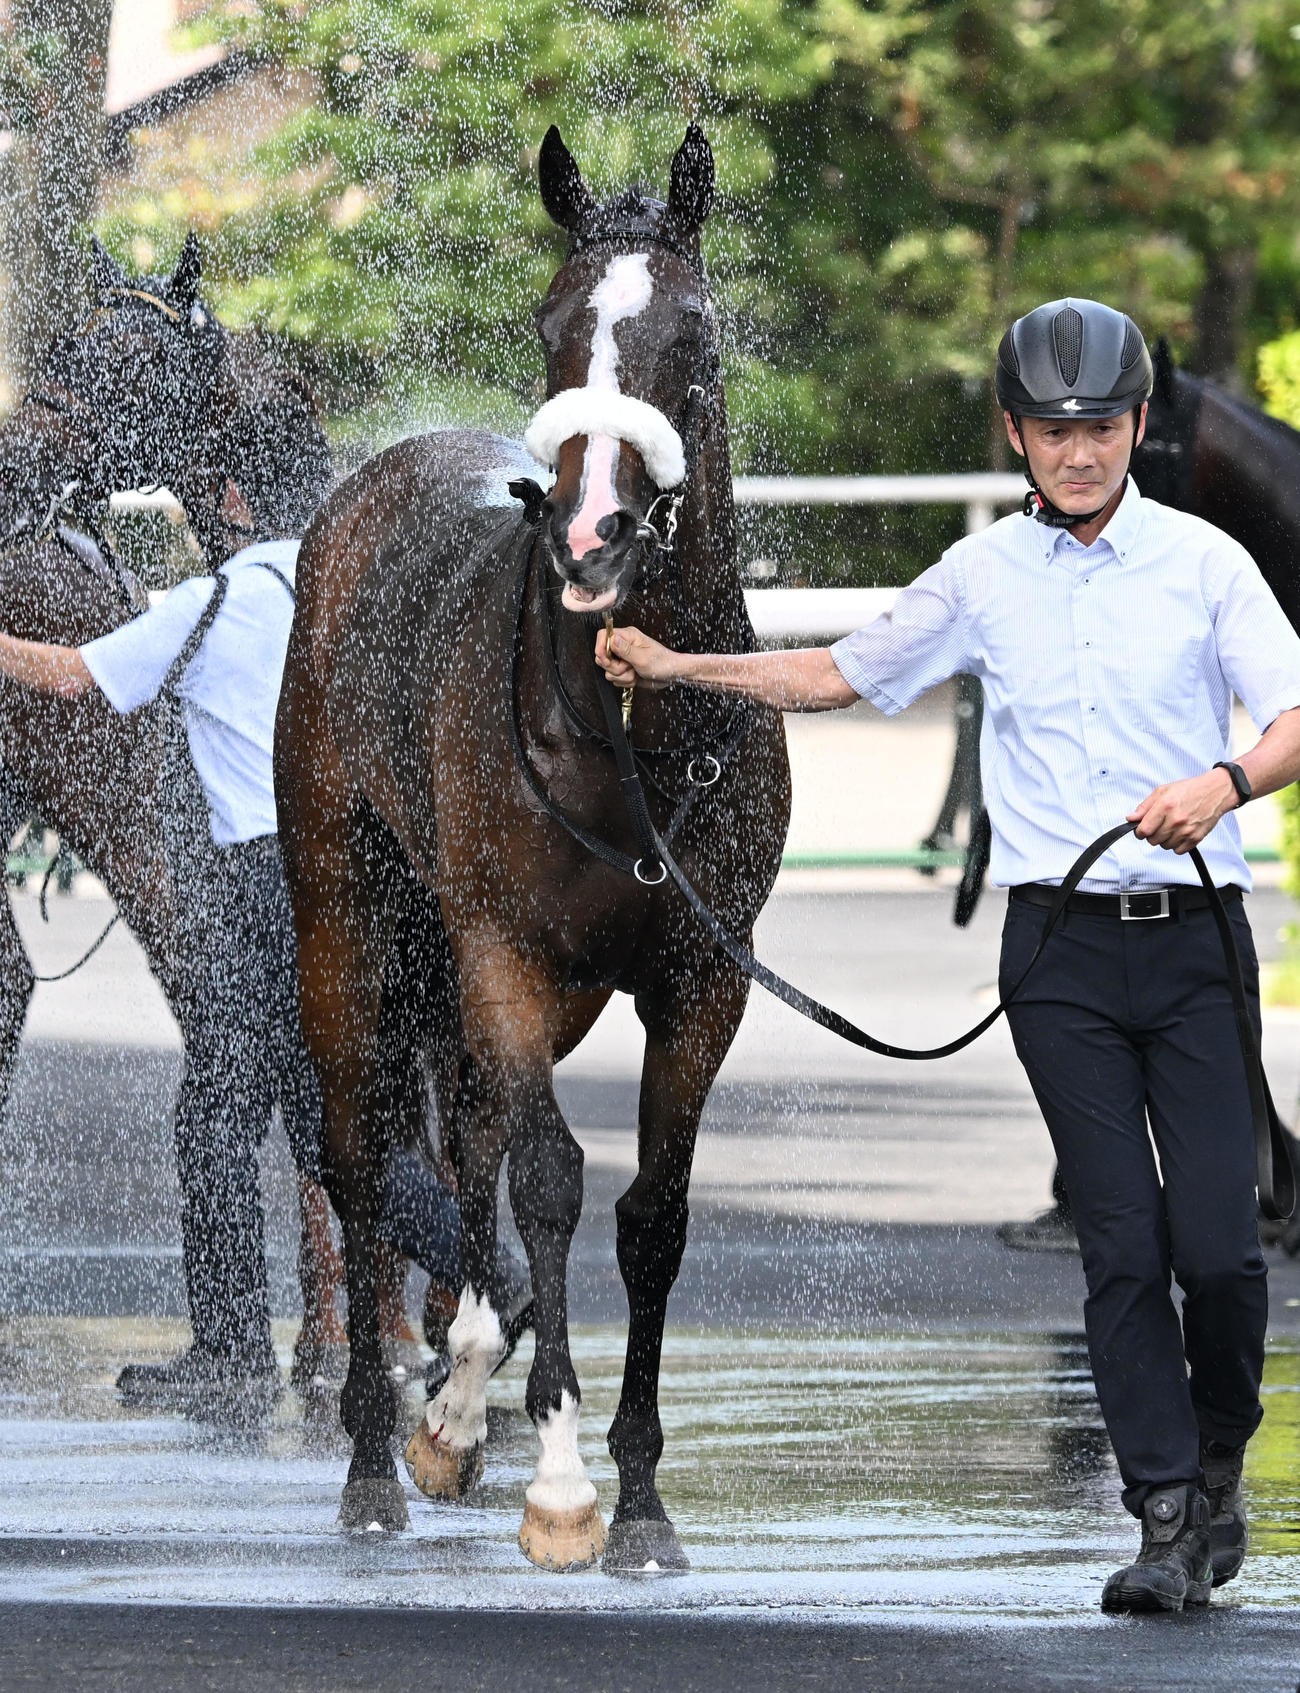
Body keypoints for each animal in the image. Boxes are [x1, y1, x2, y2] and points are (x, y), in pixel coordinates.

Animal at [277, 124, 791, 1568]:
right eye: (550, 325)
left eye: (695, 333)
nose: (589, 537)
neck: (629, 726)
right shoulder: (505, 947)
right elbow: (554, 1180)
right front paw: (563, 1487)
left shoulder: (703, 980)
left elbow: (652, 1213)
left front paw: (643, 1501)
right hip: (351, 921)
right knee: (367, 1157)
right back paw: (377, 1459)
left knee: (466, 1138)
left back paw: (453, 1402)